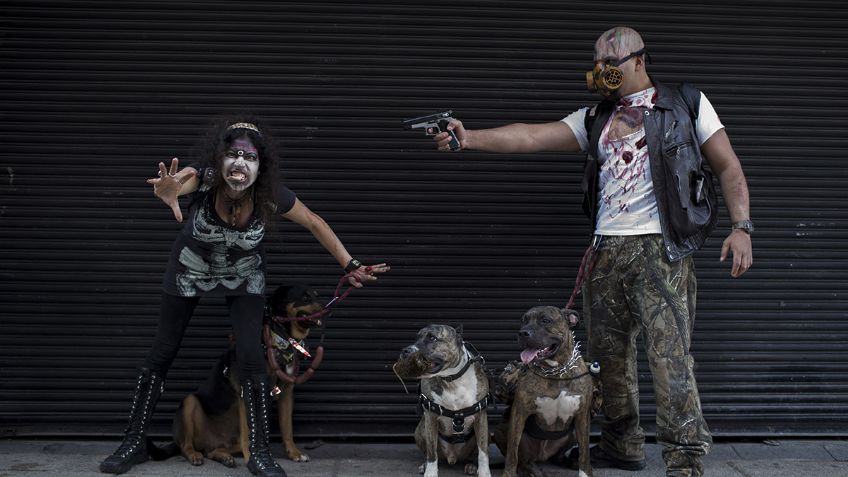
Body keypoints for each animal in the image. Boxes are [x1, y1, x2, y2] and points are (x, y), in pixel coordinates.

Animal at [394, 324, 494, 476]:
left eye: (432, 338)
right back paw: (424, 465)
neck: (451, 380)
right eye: (417, 337)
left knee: (473, 454)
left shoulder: (480, 417)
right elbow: (431, 452)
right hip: (420, 430)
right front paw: (430, 472)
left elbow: (483, 452)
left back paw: (471, 465)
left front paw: (484, 473)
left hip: (487, 433)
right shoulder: (430, 418)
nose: (405, 351)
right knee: (430, 452)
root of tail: (452, 457)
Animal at [490, 304, 604, 476]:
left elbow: (585, 452)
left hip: (571, 434)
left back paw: (569, 462)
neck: (556, 371)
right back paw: (529, 469)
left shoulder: (582, 415)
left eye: (545, 320)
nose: (523, 333)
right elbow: (512, 452)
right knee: (522, 458)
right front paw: (508, 473)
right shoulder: (519, 413)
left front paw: (585, 472)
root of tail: (542, 456)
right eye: (523, 321)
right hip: (500, 429)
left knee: (558, 457)